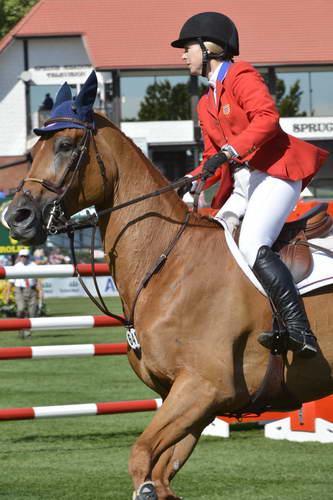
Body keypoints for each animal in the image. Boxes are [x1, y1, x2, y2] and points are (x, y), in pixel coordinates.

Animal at [4, 111, 332, 498]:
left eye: (66, 145)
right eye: (32, 151)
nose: (17, 217)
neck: (169, 260)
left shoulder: (204, 388)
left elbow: (141, 455)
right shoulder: (188, 399)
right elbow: (159, 469)